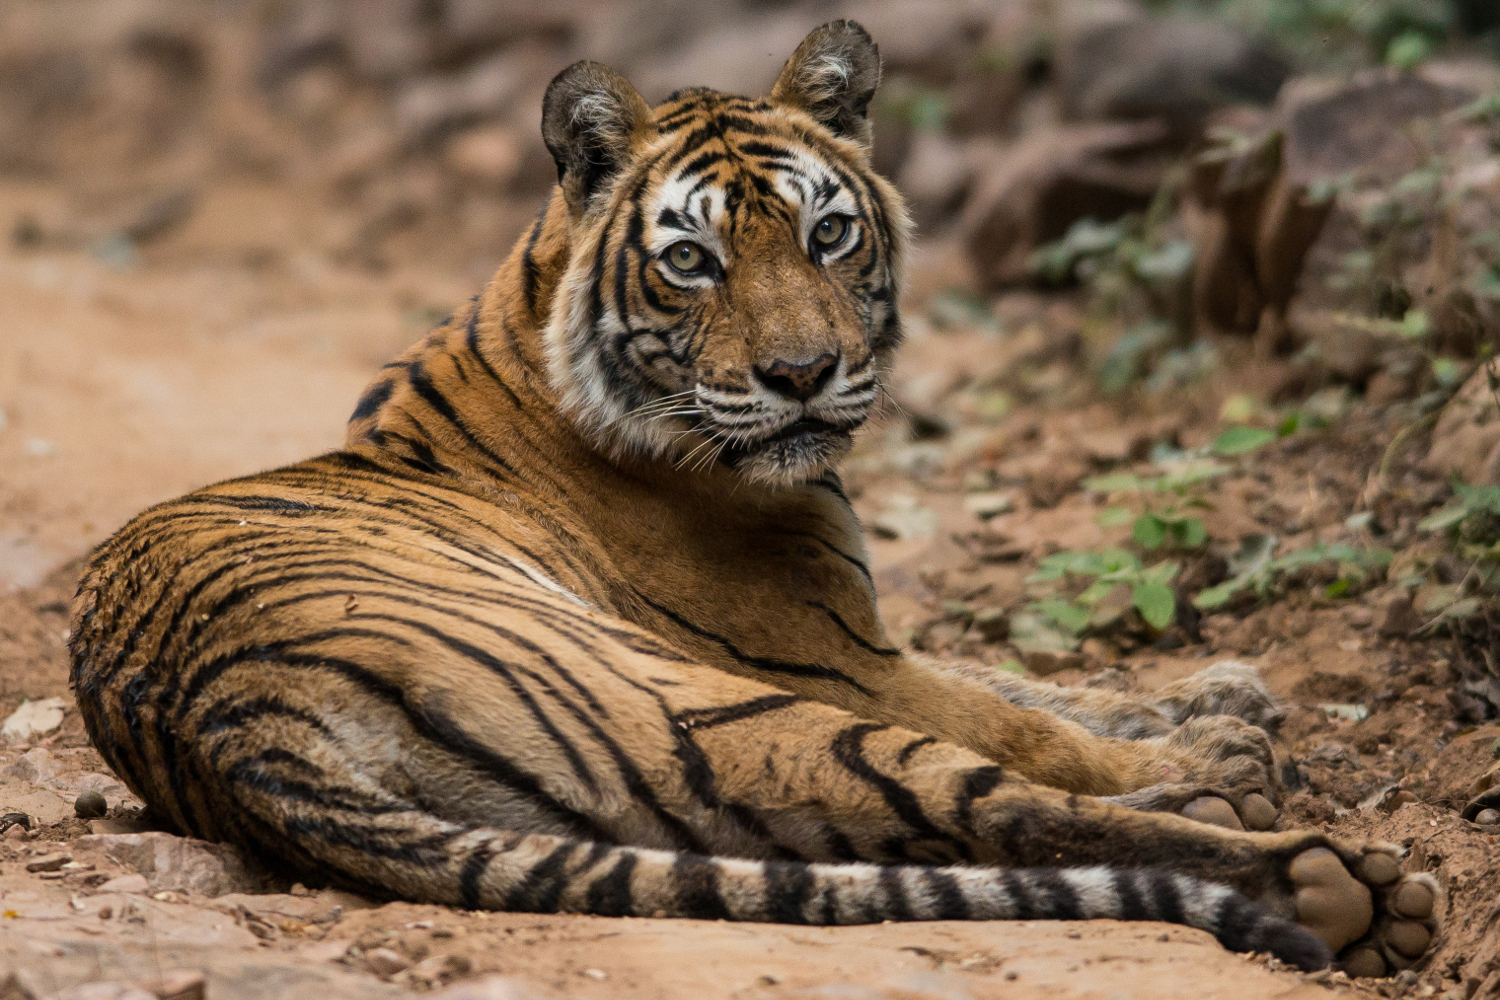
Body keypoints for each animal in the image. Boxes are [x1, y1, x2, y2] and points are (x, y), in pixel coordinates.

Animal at [70, 21, 1440, 977]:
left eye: (828, 234)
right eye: (691, 259)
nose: (802, 375)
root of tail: (224, 719)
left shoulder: (867, 632)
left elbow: (1033, 680)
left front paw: (1221, 698)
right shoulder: (832, 656)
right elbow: (1023, 722)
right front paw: (1221, 745)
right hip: (707, 709)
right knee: (994, 810)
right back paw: (1327, 874)